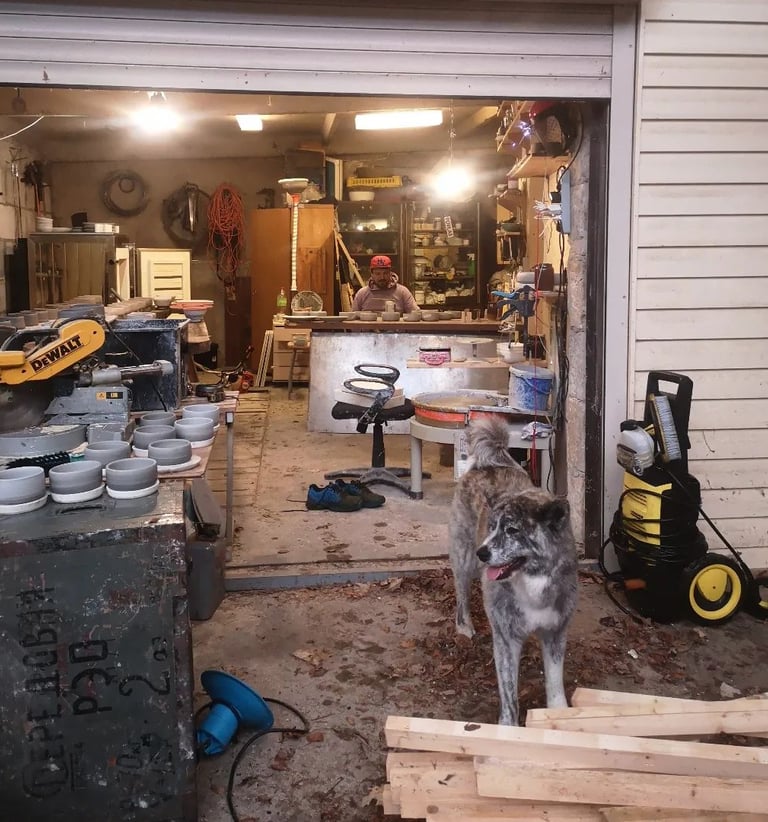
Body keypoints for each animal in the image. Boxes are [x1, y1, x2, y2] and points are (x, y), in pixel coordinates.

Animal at [448, 415, 578, 726]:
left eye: (512, 530)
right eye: (492, 527)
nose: (483, 552)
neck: (532, 582)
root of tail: (489, 463)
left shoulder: (555, 633)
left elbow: (554, 682)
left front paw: (560, 715)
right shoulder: (506, 640)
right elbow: (509, 694)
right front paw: (509, 727)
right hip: (463, 559)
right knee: (461, 595)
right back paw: (464, 627)